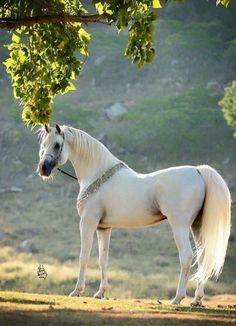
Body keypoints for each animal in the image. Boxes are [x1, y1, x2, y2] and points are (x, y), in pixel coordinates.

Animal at [36, 124, 230, 306]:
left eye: (57, 144)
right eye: (43, 144)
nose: (43, 169)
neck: (97, 174)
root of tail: (197, 170)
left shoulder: (87, 223)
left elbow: (83, 257)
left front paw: (77, 291)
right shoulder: (104, 228)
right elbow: (102, 259)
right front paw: (100, 293)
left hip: (179, 226)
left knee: (187, 257)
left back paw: (177, 298)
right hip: (197, 227)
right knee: (203, 258)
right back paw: (196, 299)